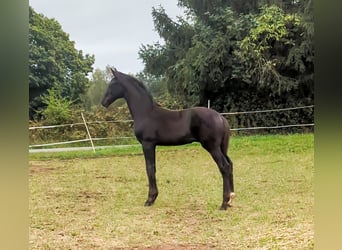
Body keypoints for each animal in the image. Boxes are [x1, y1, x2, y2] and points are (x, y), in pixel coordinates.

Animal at [101, 68, 235, 209]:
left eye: (112, 84)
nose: (103, 102)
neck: (146, 113)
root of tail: (220, 117)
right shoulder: (152, 145)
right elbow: (153, 168)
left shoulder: (147, 144)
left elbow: (149, 168)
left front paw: (150, 199)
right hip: (222, 148)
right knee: (230, 164)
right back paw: (231, 199)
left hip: (212, 147)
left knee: (224, 167)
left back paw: (224, 203)